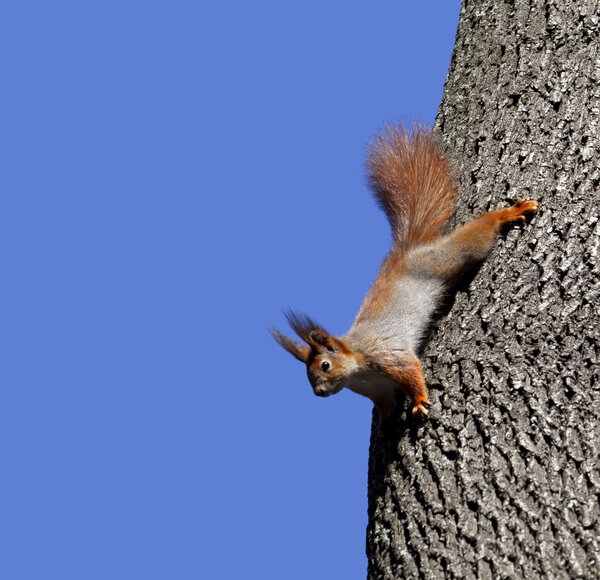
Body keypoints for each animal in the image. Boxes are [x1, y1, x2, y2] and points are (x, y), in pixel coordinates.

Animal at [270, 123, 536, 436]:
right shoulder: (378, 390)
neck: (359, 369)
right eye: (307, 375)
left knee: (479, 234)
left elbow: (411, 372)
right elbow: (386, 405)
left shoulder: (389, 356)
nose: (319, 393)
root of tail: (406, 251)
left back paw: (510, 213)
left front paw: (419, 401)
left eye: (324, 365)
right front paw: (385, 427)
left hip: (446, 258)